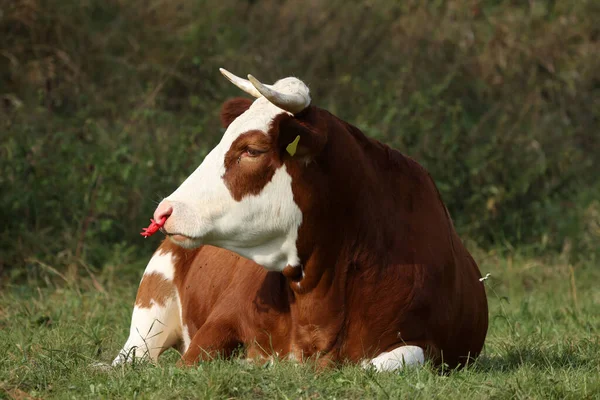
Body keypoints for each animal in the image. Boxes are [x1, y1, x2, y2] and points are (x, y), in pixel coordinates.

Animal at [112, 69, 488, 372]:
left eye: (252, 150)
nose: (165, 211)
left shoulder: (429, 345)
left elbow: (381, 364)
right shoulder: (221, 321)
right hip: (149, 308)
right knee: (132, 357)